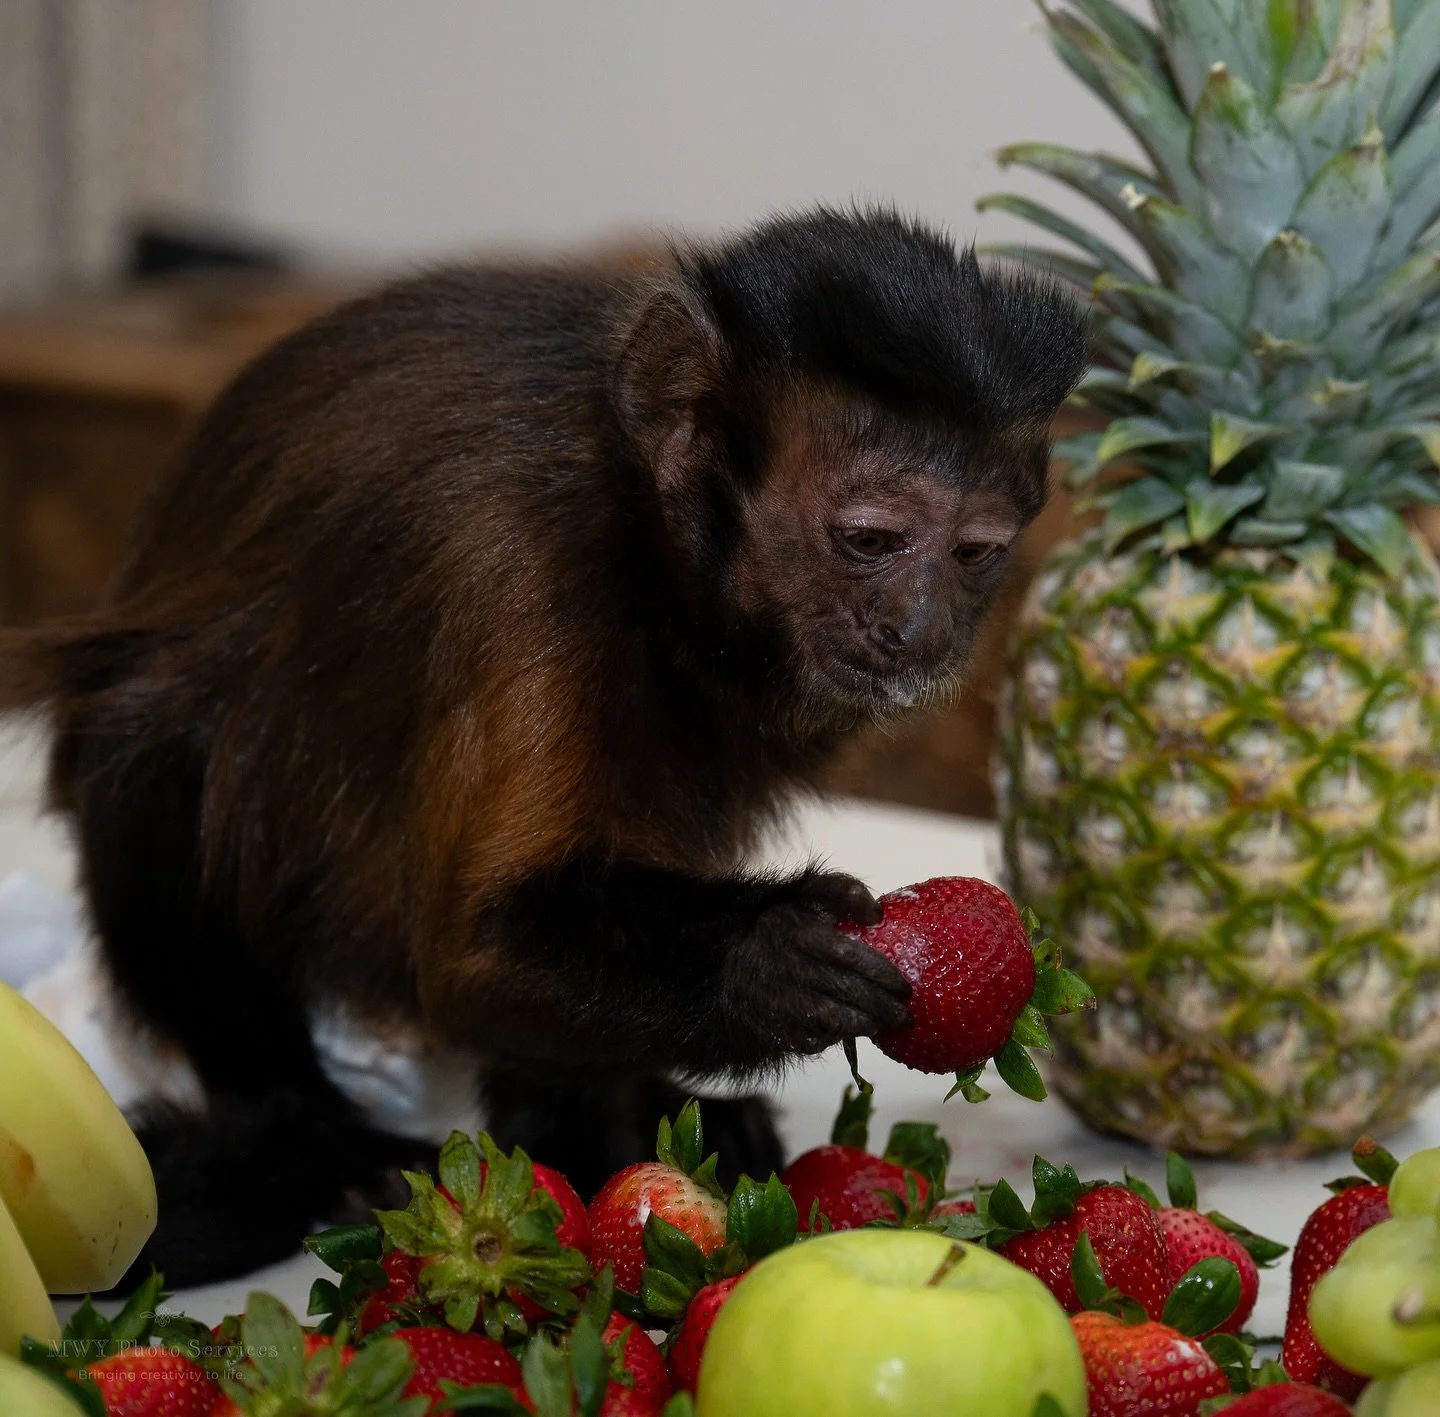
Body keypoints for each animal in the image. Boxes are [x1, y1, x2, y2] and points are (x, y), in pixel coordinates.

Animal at [1, 208, 1086, 1287]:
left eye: (974, 553)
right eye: (870, 538)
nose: (920, 626)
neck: (645, 528)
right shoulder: (520, 560)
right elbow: (475, 953)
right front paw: (766, 958)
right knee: (164, 750)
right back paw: (324, 1143)